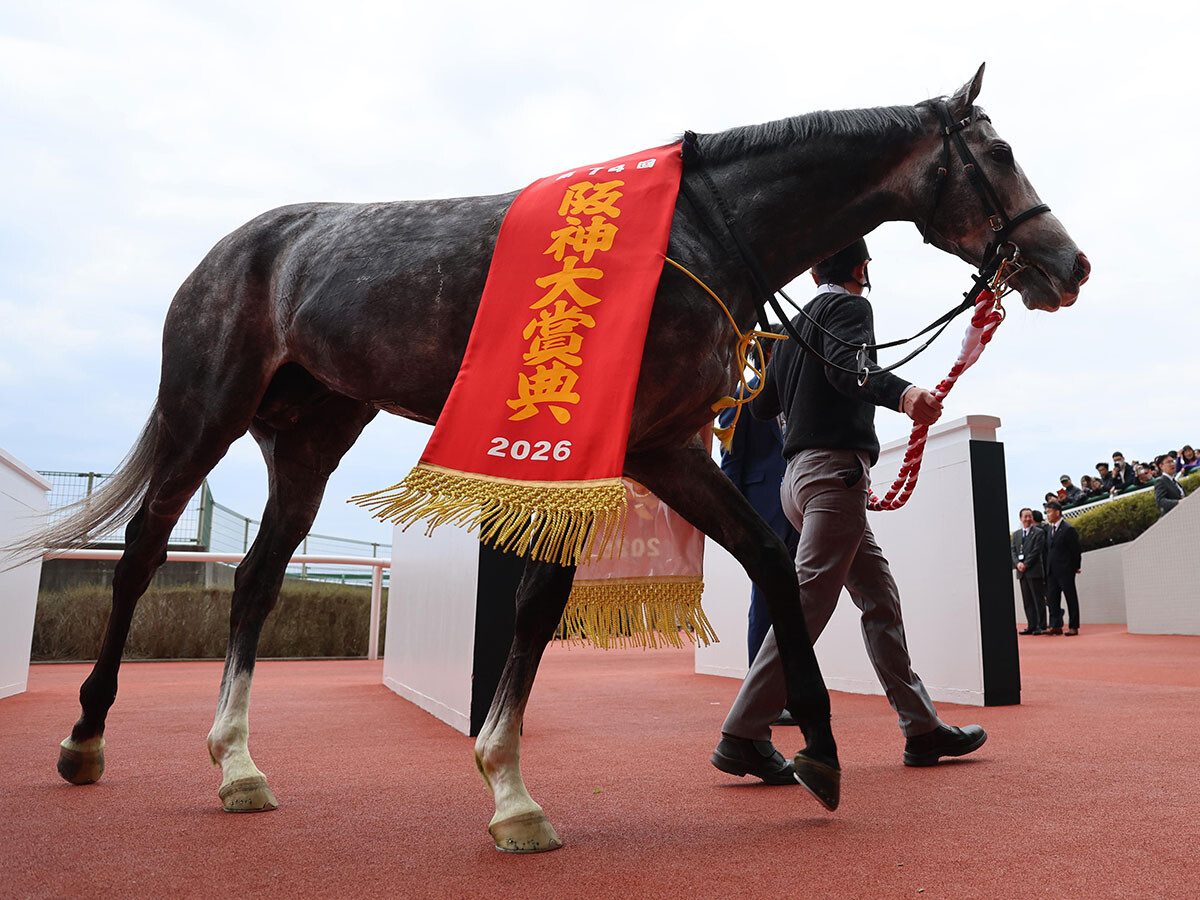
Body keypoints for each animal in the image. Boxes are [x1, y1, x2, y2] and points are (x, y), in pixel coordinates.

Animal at [31, 64, 1088, 853]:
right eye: (999, 152)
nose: (1068, 265)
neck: (688, 233)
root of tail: (234, 249)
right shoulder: (597, 450)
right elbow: (541, 602)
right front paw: (510, 790)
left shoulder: (663, 448)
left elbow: (770, 562)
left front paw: (818, 753)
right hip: (204, 409)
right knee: (141, 553)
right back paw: (84, 738)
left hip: (312, 434)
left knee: (254, 579)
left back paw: (239, 764)